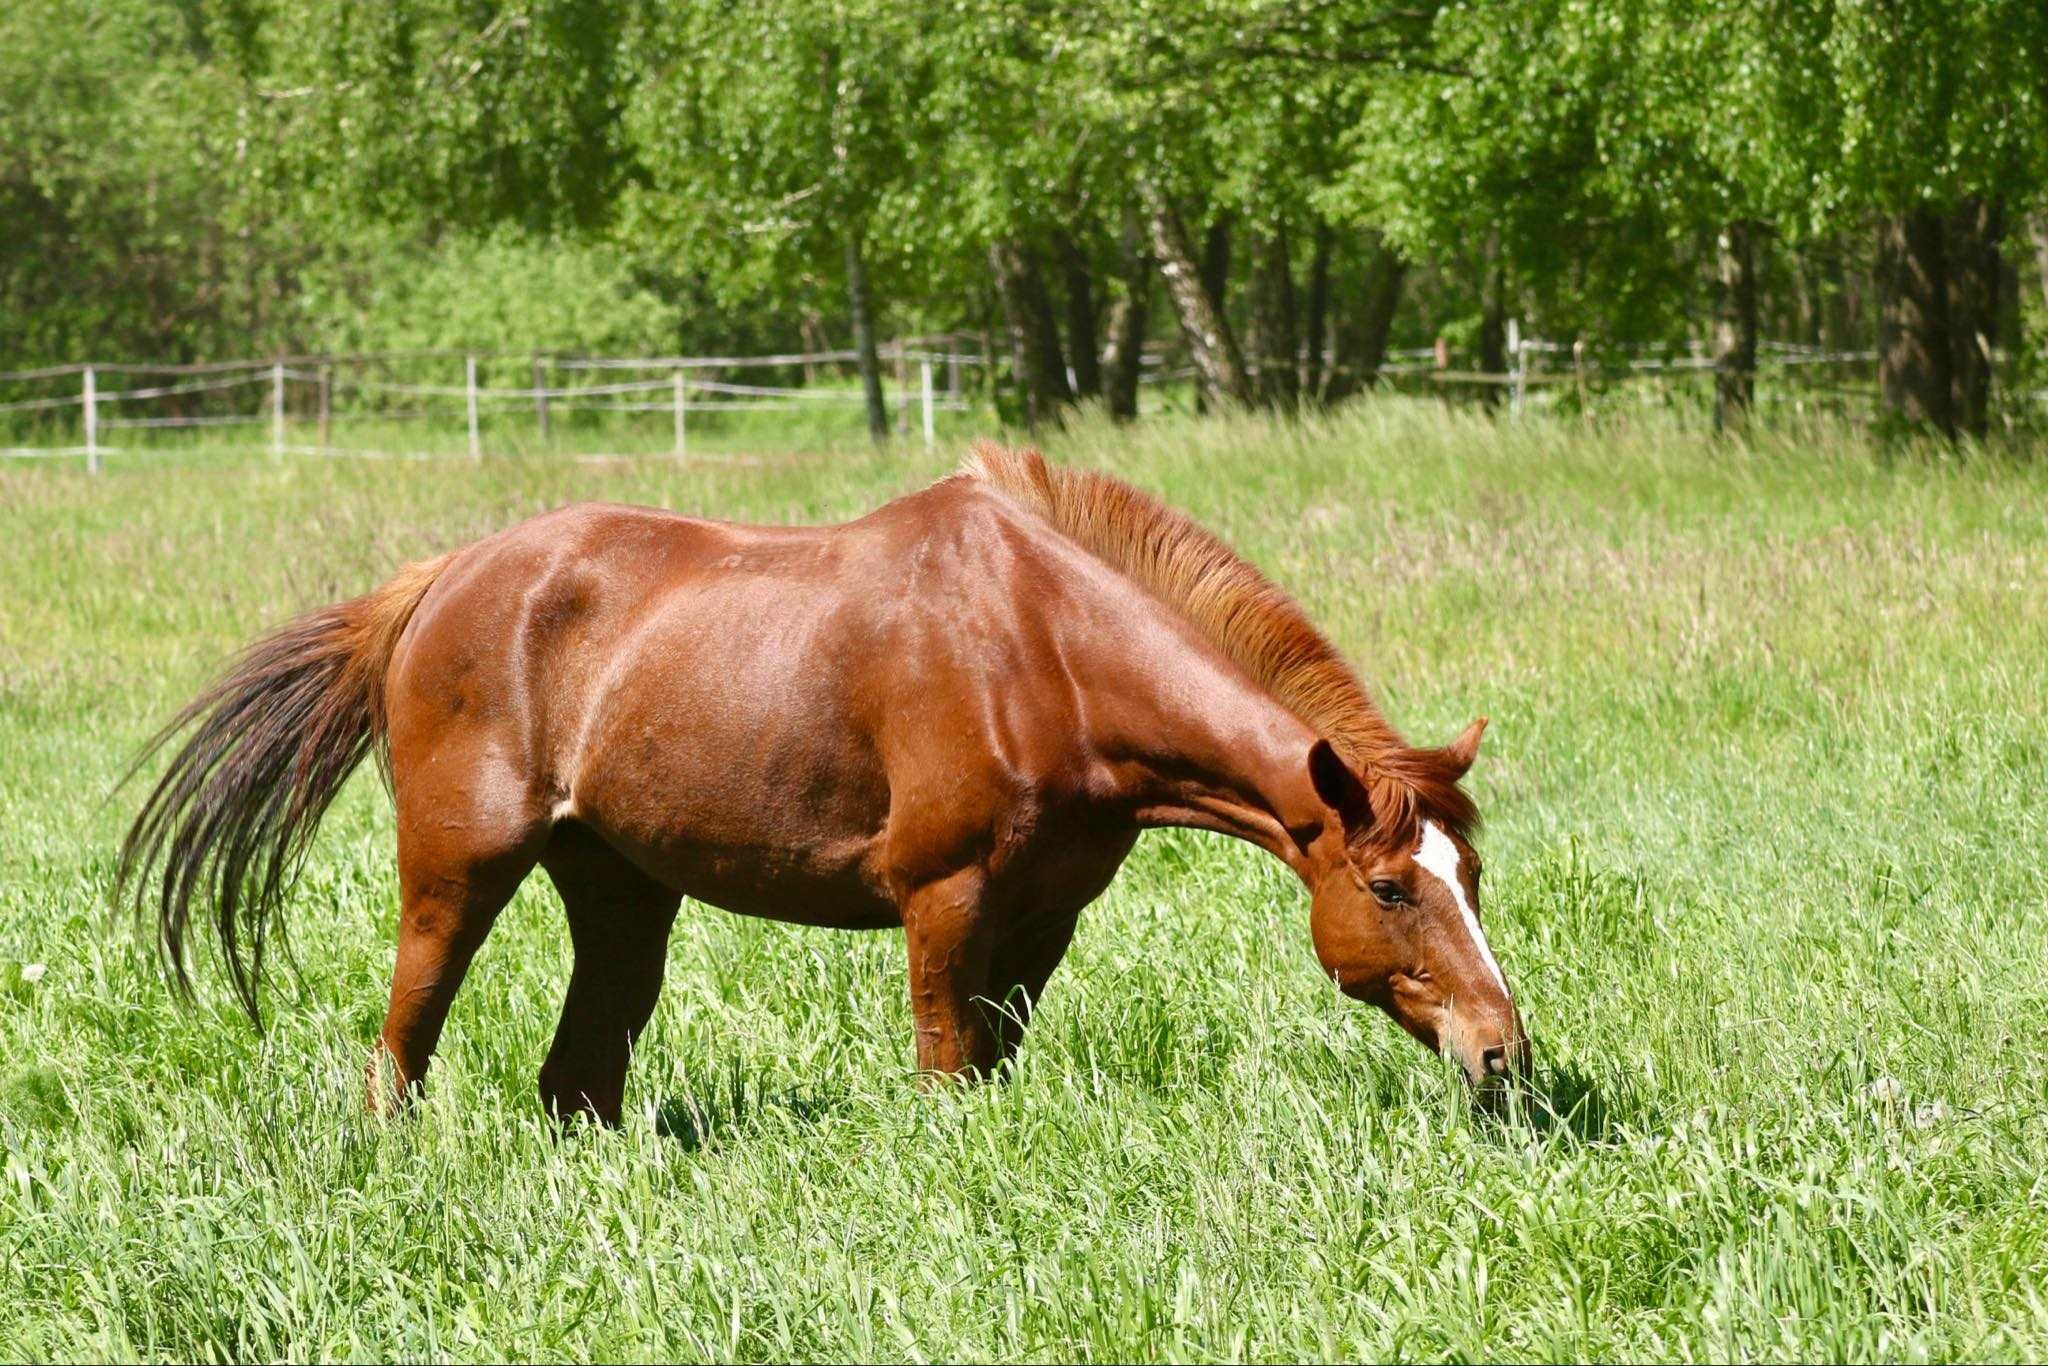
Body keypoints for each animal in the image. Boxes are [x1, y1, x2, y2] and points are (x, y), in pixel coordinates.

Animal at [112, 444, 1523, 1130]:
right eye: (1391, 888)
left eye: (1469, 874)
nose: (1502, 1053)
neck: (1046, 652)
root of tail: (438, 580)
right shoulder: (941, 896)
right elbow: (948, 1066)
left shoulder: (1045, 916)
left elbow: (996, 1056)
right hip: (458, 868)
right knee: (404, 1038)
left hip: (619, 886)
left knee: (579, 1075)